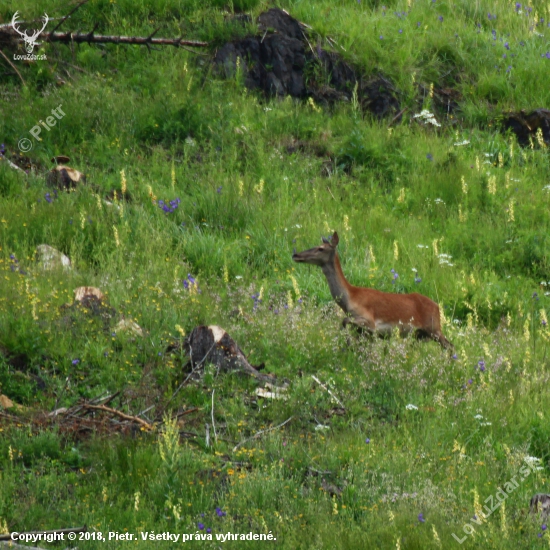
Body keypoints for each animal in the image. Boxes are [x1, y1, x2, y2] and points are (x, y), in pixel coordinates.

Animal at [294, 233, 452, 350]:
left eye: (320, 248)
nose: (296, 255)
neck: (349, 298)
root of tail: (438, 307)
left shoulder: (369, 320)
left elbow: (344, 321)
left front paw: (348, 343)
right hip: (420, 335)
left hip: (434, 328)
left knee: (450, 345)